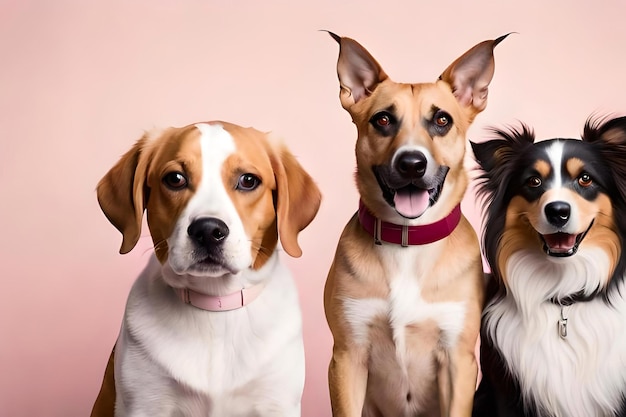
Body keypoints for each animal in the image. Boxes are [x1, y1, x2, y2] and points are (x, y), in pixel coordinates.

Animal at [90, 121, 320, 416]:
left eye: (248, 180)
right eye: (175, 178)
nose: (208, 231)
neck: (215, 304)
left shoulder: (276, 404)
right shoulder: (145, 404)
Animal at [324, 33, 504, 416]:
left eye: (442, 120)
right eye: (382, 120)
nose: (411, 164)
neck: (407, 241)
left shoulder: (458, 361)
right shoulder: (347, 357)